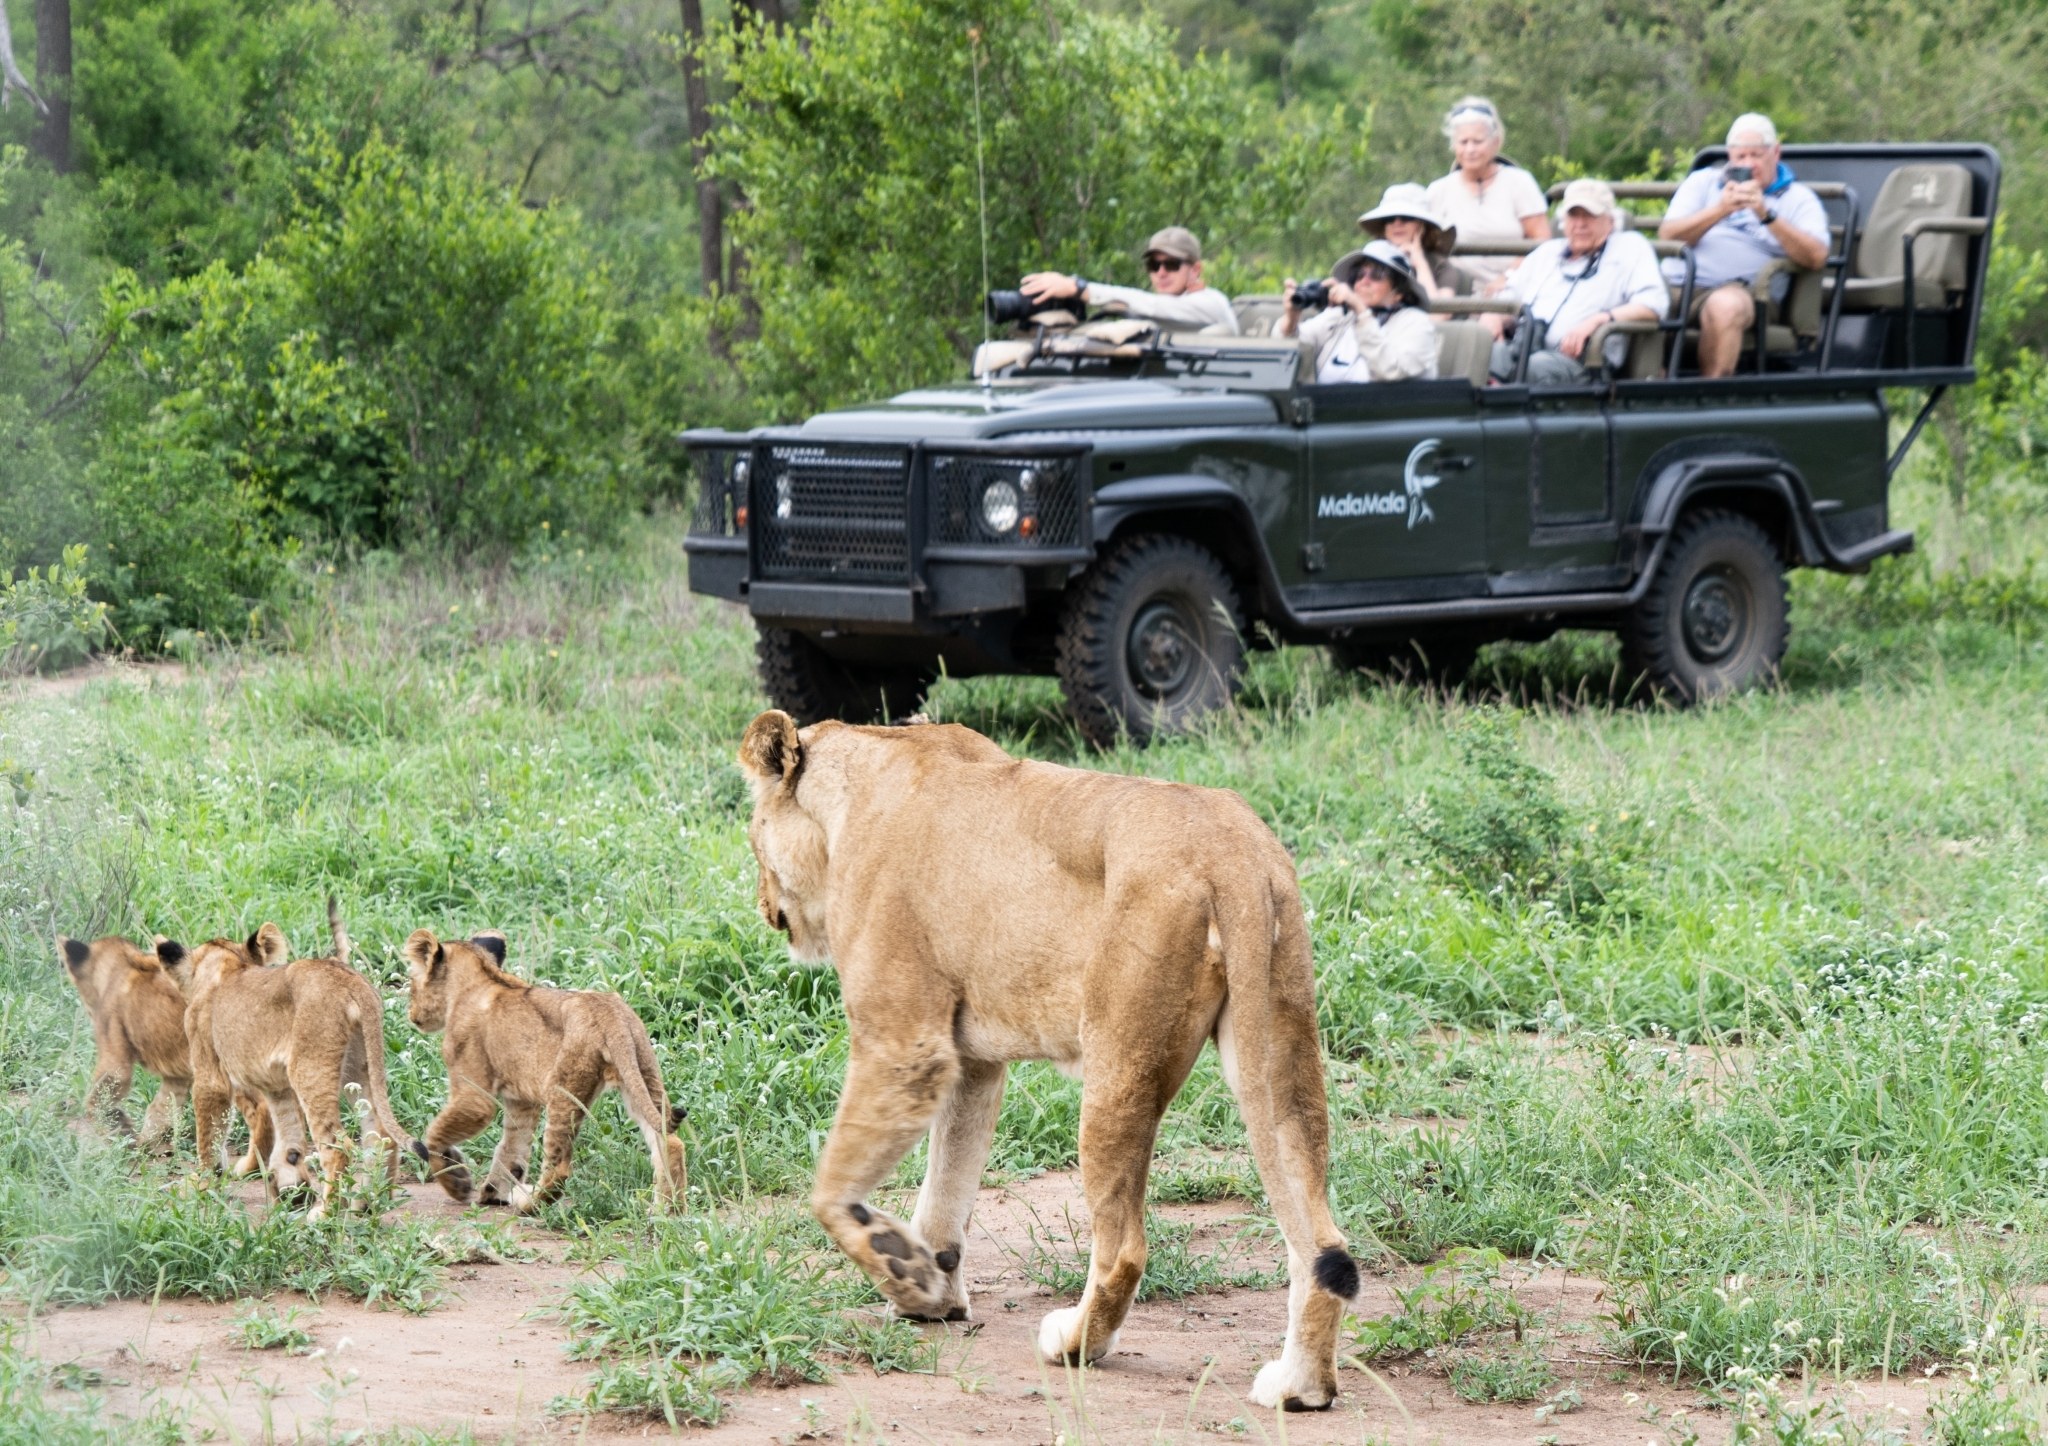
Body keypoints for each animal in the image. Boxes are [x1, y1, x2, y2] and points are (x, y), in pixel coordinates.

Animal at [182, 899, 412, 1217]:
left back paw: (325, 1215)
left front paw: (201, 1188)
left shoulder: (210, 1075)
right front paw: (291, 1191)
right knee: (380, 1134)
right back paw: (368, 1204)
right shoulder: (276, 1085)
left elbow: (208, 1137)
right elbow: (288, 1138)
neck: (228, 966)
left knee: (340, 1147)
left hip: (310, 1068)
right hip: (359, 1066)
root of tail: (350, 979)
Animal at [399, 928, 687, 1215]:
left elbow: (435, 1134)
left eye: (411, 984)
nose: (411, 1015)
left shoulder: (475, 1097)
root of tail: (610, 1015)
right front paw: (493, 1193)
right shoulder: (521, 1100)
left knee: (559, 1168)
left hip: (564, 1089)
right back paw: (668, 1211)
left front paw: (456, 1181)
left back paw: (529, 1204)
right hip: (643, 1075)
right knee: (670, 1142)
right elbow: (511, 1148)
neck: (479, 977)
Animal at [736, 709, 1362, 1412]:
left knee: (1123, 1247)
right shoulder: (972, 1059)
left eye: (753, 835)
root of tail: (1235, 852)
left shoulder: (904, 1043)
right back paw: (1300, 1387)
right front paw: (932, 1293)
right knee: (1321, 1239)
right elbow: (946, 1187)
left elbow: (831, 1189)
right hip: (1279, 1046)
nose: (762, 906)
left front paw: (899, 1269)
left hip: (1117, 1062)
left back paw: (1073, 1344)